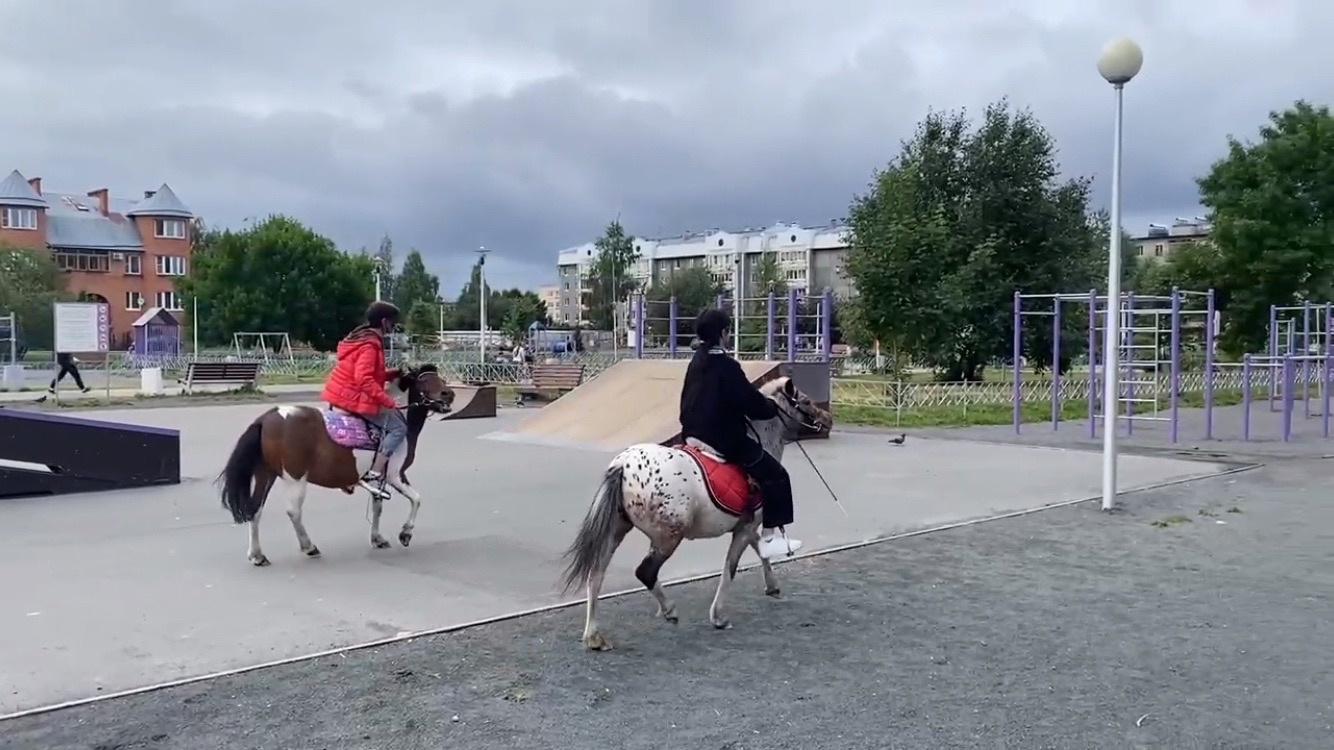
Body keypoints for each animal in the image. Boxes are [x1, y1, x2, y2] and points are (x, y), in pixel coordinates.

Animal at [214, 365, 453, 563]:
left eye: (439, 378)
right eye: (424, 381)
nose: (448, 394)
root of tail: (266, 418)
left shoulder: (379, 480)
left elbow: (378, 506)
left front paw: (377, 538)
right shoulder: (395, 474)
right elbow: (416, 499)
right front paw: (405, 533)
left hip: (266, 475)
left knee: (255, 509)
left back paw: (257, 555)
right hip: (295, 478)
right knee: (293, 512)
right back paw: (309, 546)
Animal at [557, 373, 827, 648]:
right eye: (805, 401)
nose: (827, 419)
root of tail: (623, 465)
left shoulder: (746, 526)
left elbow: (760, 552)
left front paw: (772, 586)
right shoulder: (744, 529)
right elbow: (730, 568)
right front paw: (719, 616)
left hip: (617, 530)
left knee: (596, 575)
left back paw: (594, 636)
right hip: (667, 537)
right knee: (645, 572)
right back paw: (669, 610)